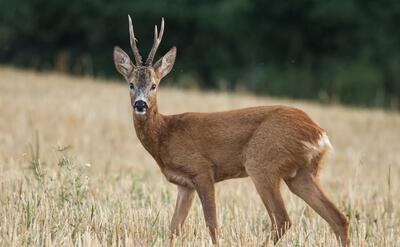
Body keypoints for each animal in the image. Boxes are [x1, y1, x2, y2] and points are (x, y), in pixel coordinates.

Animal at [113, 15, 350, 247]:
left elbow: (212, 225)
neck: (164, 134)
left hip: (262, 163)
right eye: (131, 84)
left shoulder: (202, 170)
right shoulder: (184, 185)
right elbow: (173, 230)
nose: (140, 104)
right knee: (339, 218)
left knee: (282, 220)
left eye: (154, 85)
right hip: (301, 174)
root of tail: (318, 133)